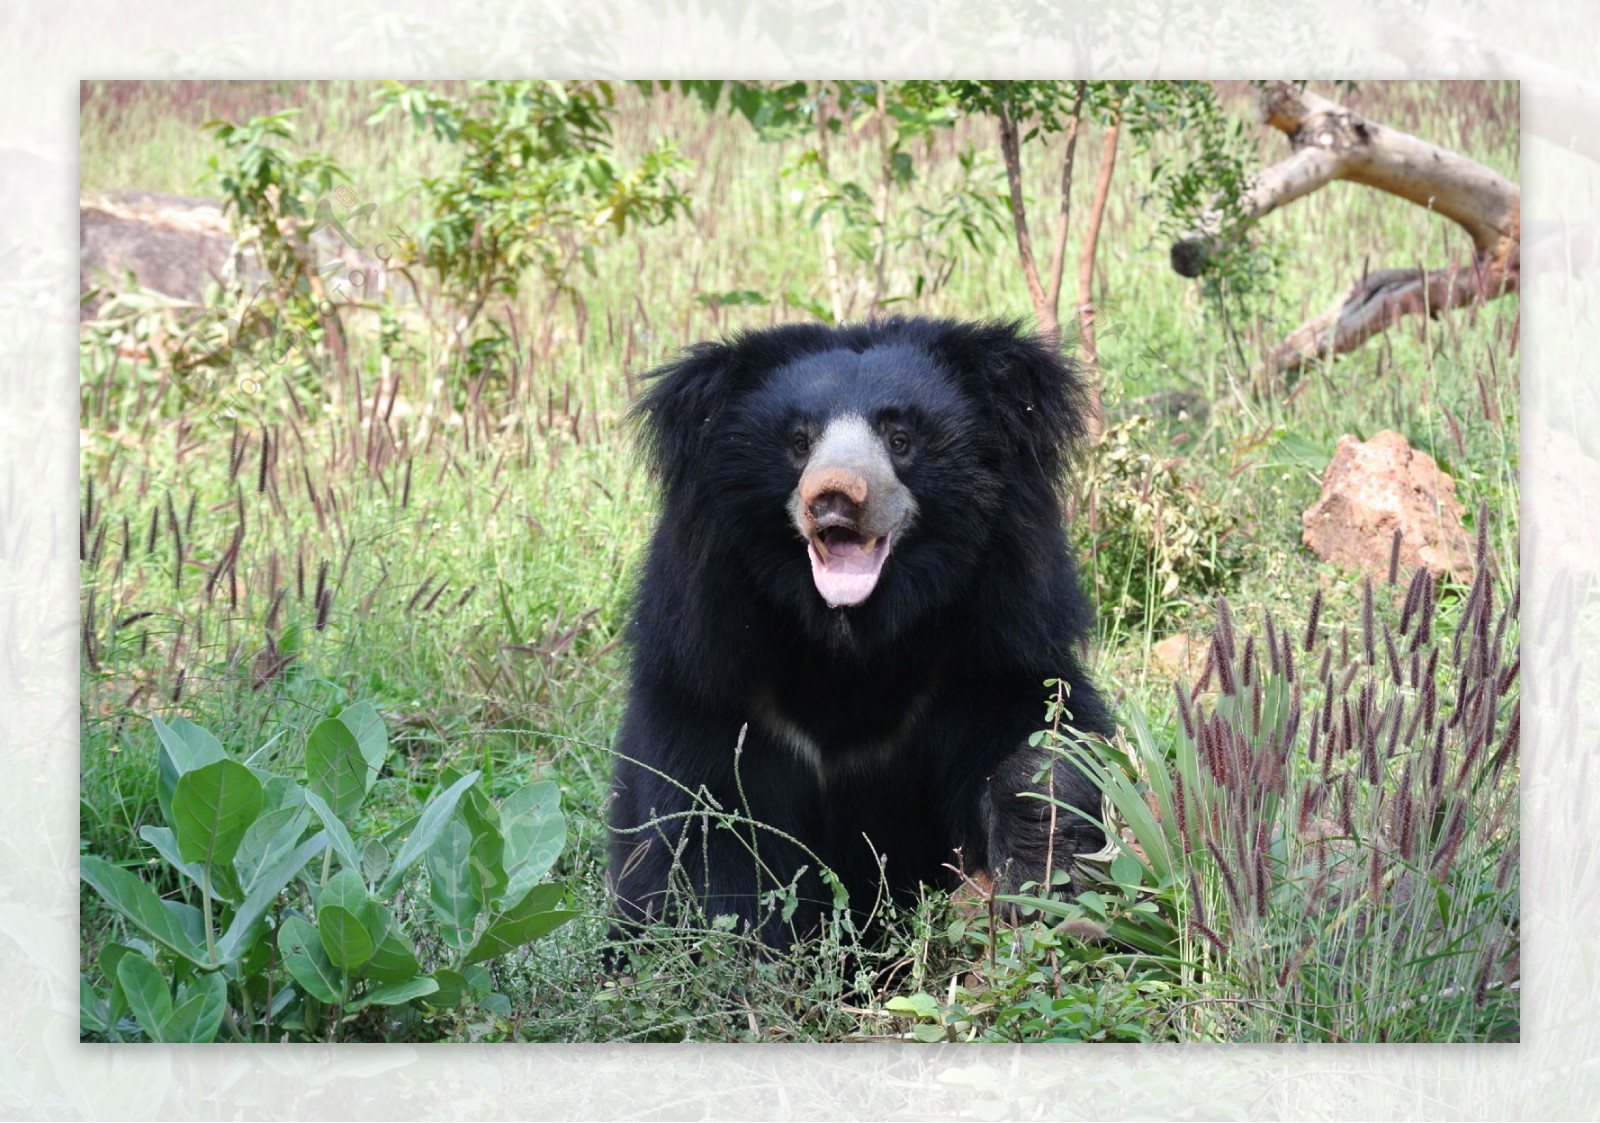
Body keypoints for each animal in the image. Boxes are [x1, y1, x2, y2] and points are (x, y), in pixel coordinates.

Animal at [604, 316, 1120, 947]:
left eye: (900, 439)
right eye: (799, 442)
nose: (833, 496)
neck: (850, 638)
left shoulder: (992, 637)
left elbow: (1037, 733)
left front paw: (1040, 878)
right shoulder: (709, 666)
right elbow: (705, 819)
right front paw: (733, 945)